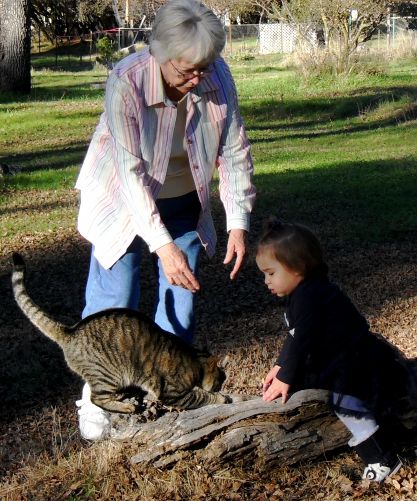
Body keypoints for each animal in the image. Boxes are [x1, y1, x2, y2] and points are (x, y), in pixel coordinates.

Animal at [11, 252, 231, 412]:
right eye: (220, 380)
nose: (221, 386)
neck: (195, 361)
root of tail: (71, 330)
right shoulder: (174, 393)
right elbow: (201, 396)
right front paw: (220, 397)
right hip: (107, 374)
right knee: (96, 398)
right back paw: (126, 407)